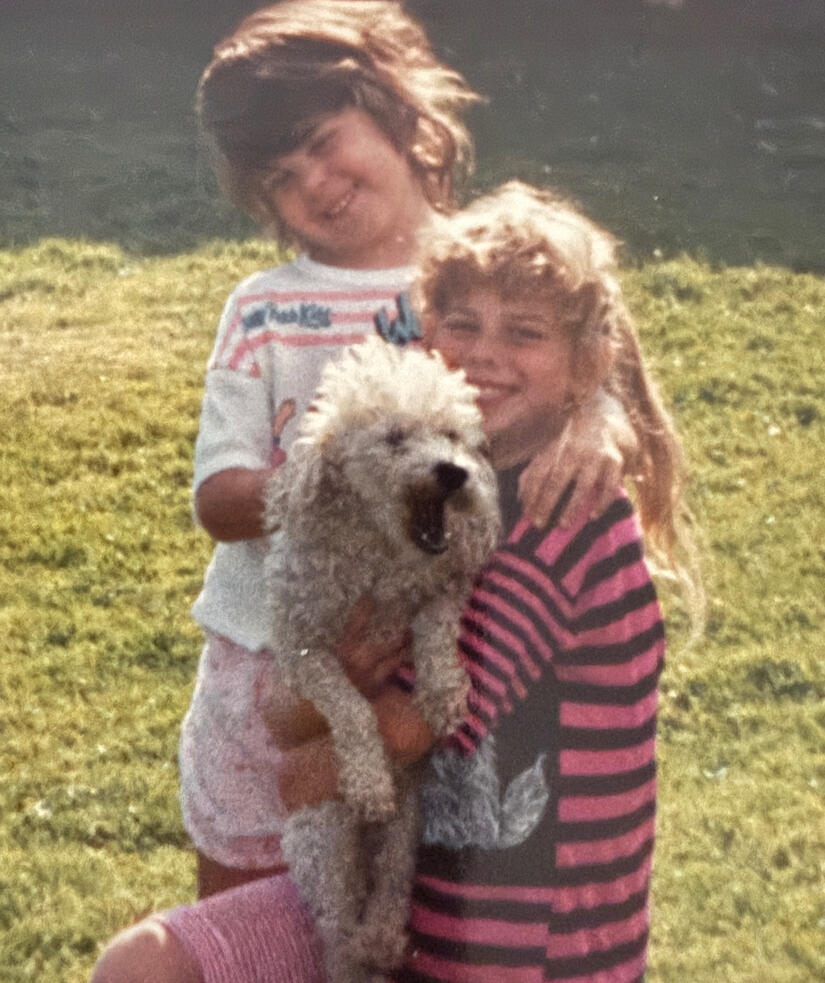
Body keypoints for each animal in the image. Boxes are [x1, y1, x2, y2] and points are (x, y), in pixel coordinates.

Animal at [263, 337, 500, 983]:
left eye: (452, 435)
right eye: (393, 439)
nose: (453, 471)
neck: (380, 554)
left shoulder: (443, 587)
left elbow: (437, 630)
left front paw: (444, 692)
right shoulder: (301, 646)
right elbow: (348, 704)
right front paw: (368, 776)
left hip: (405, 834)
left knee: (389, 894)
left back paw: (385, 940)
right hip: (324, 843)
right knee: (336, 929)